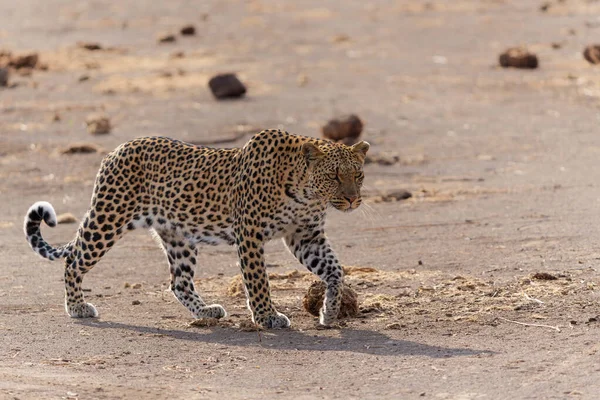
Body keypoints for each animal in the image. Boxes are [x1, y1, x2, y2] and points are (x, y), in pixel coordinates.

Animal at [23, 130, 368, 326]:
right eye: (335, 175)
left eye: (359, 175)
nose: (354, 199)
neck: (306, 193)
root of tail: (115, 150)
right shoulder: (250, 233)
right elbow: (258, 280)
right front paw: (267, 316)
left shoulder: (305, 235)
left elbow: (335, 270)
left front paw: (330, 312)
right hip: (108, 218)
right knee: (73, 260)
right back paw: (77, 308)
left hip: (178, 236)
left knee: (179, 282)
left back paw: (206, 312)